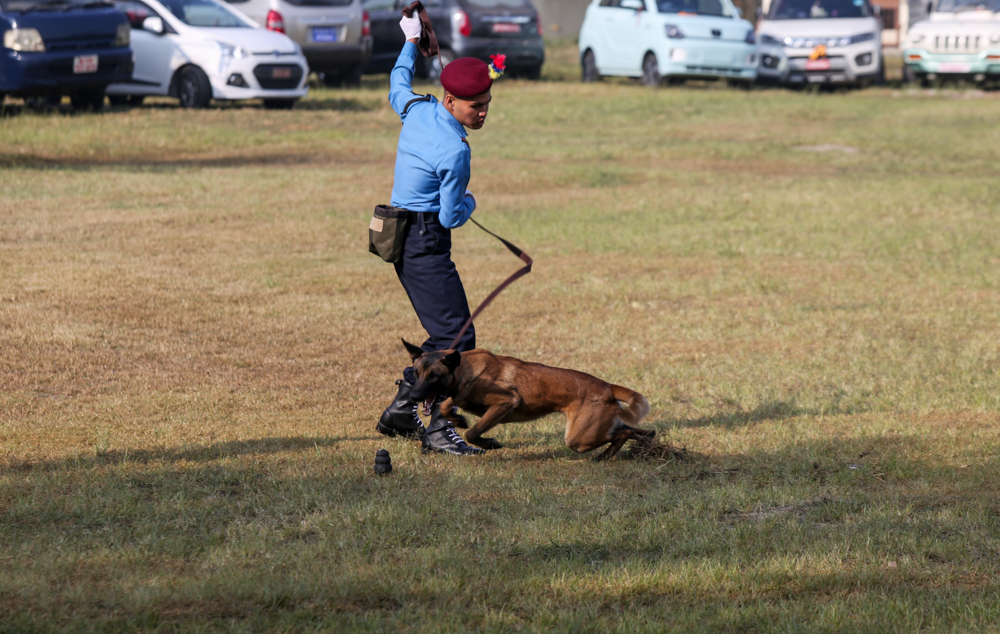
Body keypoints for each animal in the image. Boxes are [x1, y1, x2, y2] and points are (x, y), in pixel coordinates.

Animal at [402, 338, 652, 456]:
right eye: (416, 372)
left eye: (434, 376)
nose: (413, 397)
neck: (464, 369)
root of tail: (608, 386)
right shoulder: (459, 396)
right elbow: (447, 406)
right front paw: (458, 420)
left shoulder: (506, 402)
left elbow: (472, 433)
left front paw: (490, 443)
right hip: (591, 431)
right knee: (637, 431)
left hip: (578, 438)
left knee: (624, 433)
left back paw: (607, 455)